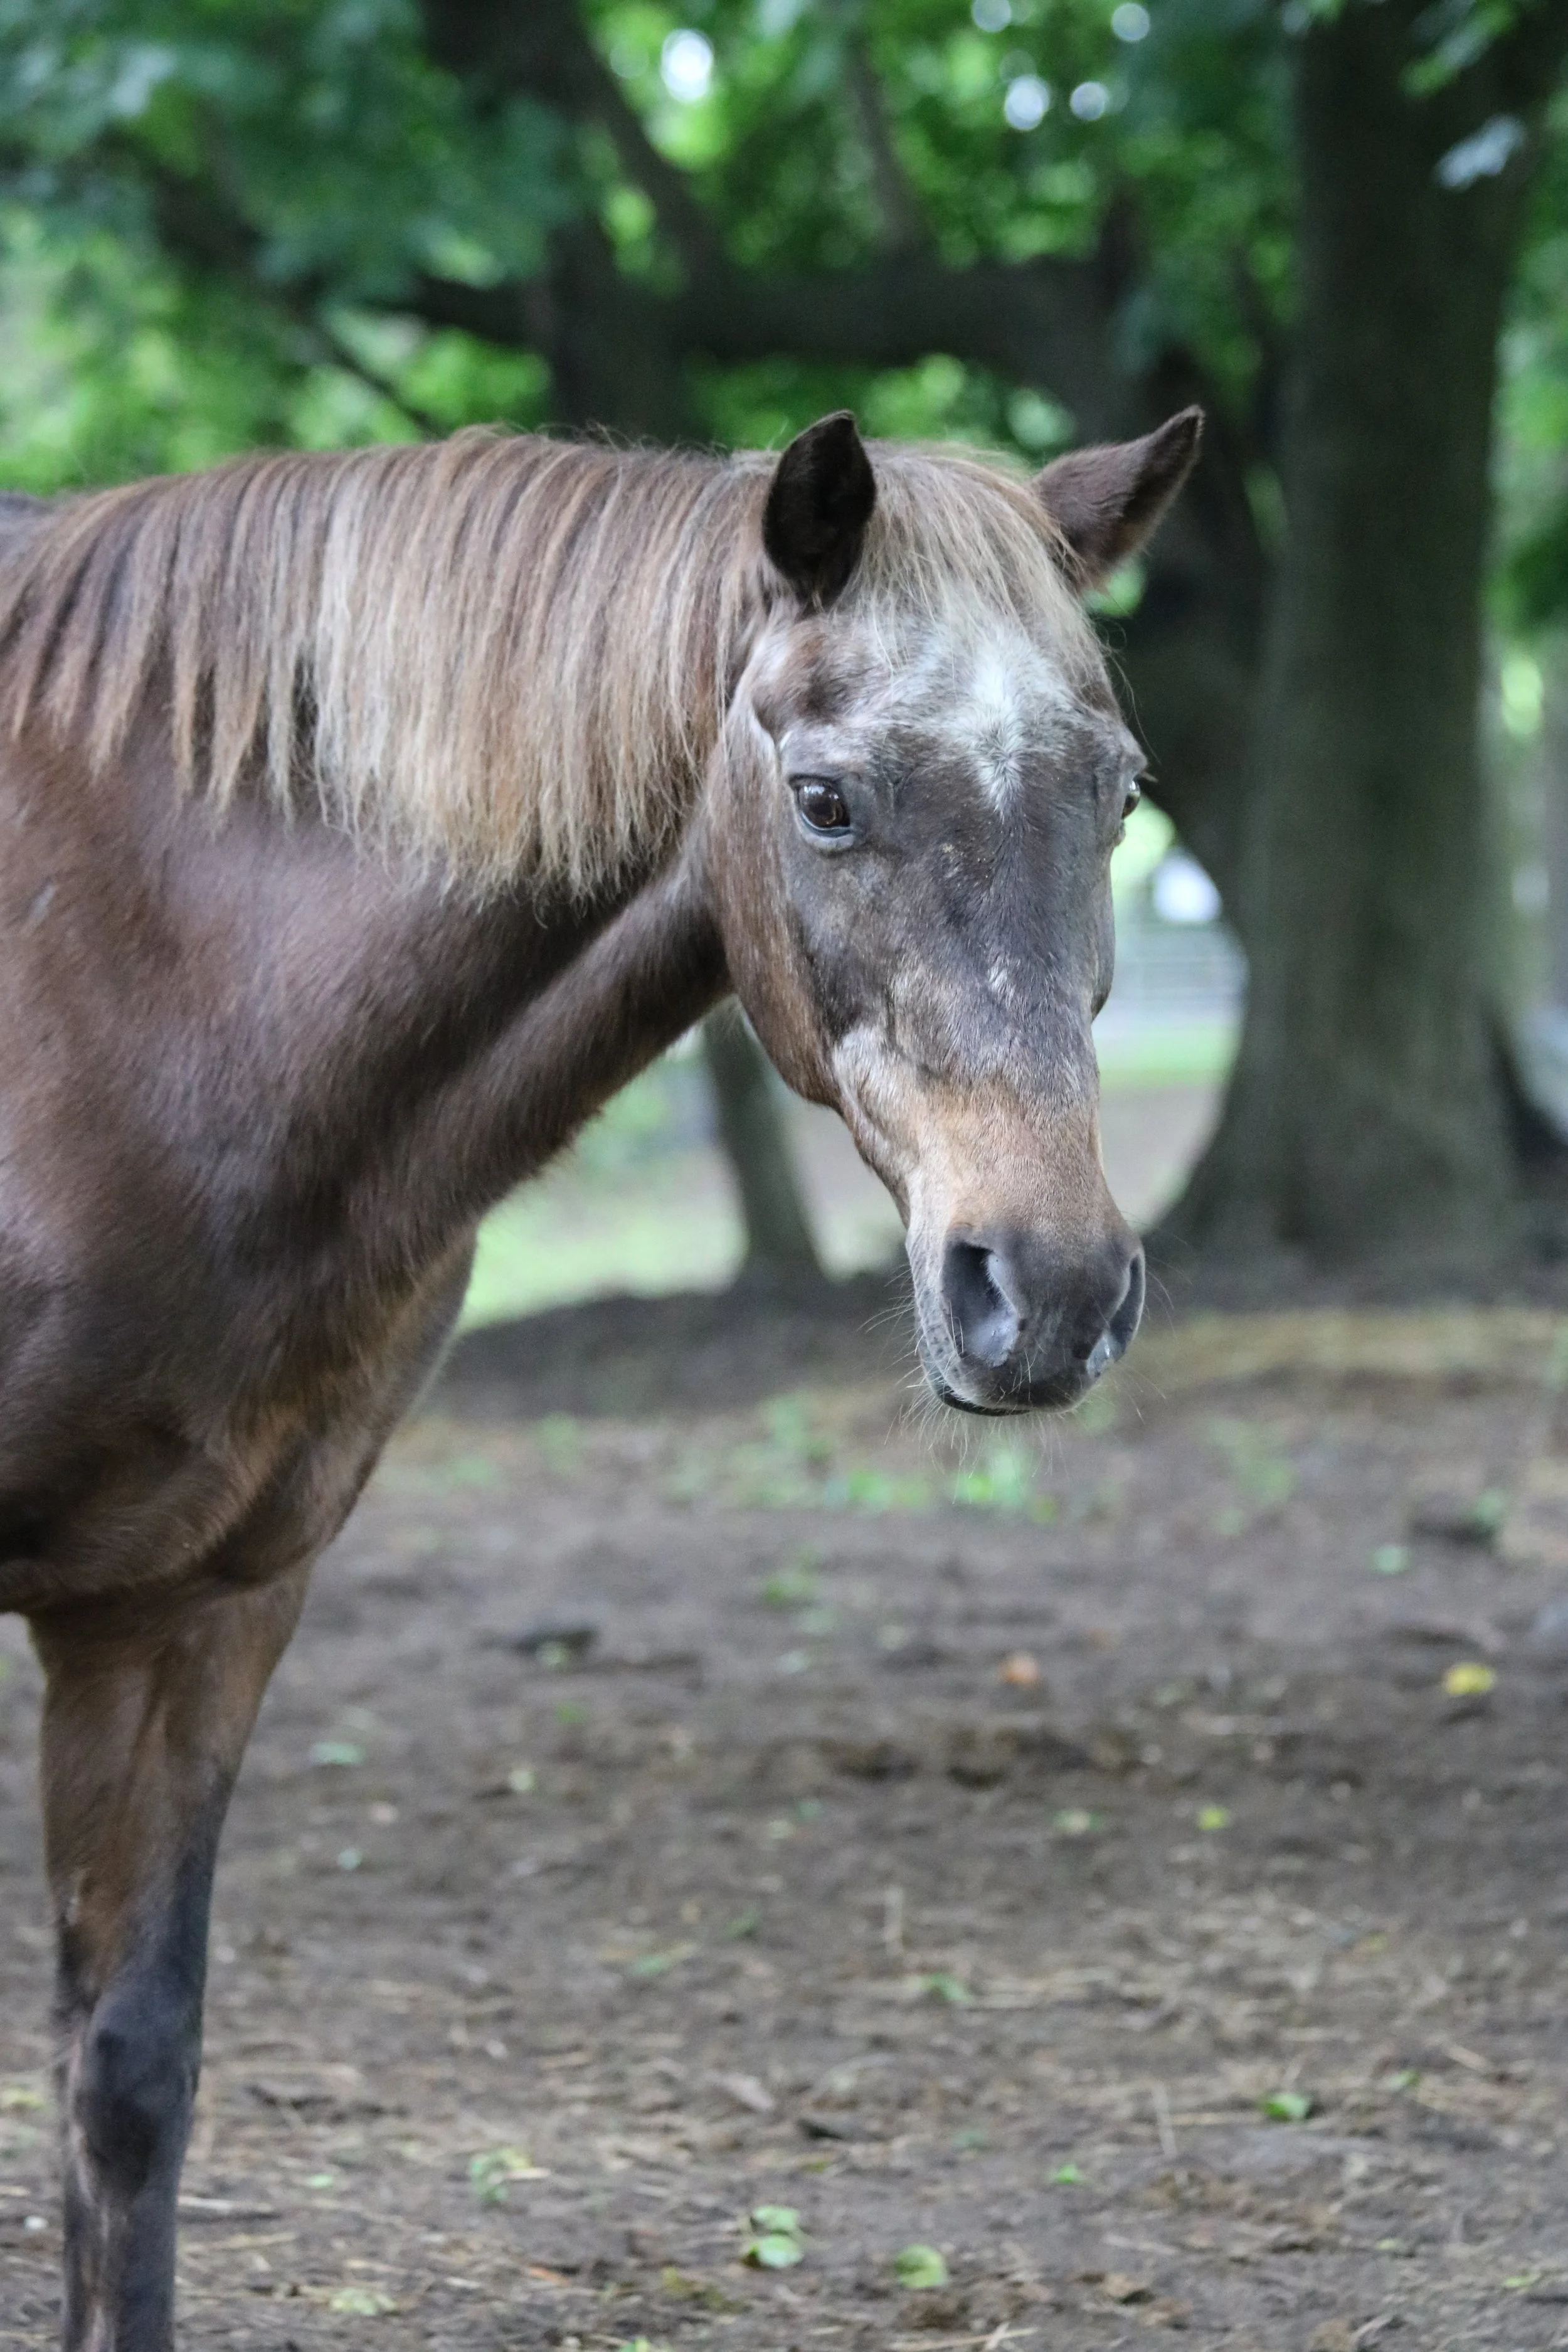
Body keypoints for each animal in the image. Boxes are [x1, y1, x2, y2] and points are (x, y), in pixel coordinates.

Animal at [0, 402, 1199, 2348]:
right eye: (825, 797)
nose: (1052, 1286)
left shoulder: (192, 1610)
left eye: (1118, 791)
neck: (110, 974)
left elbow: (127, 2076)